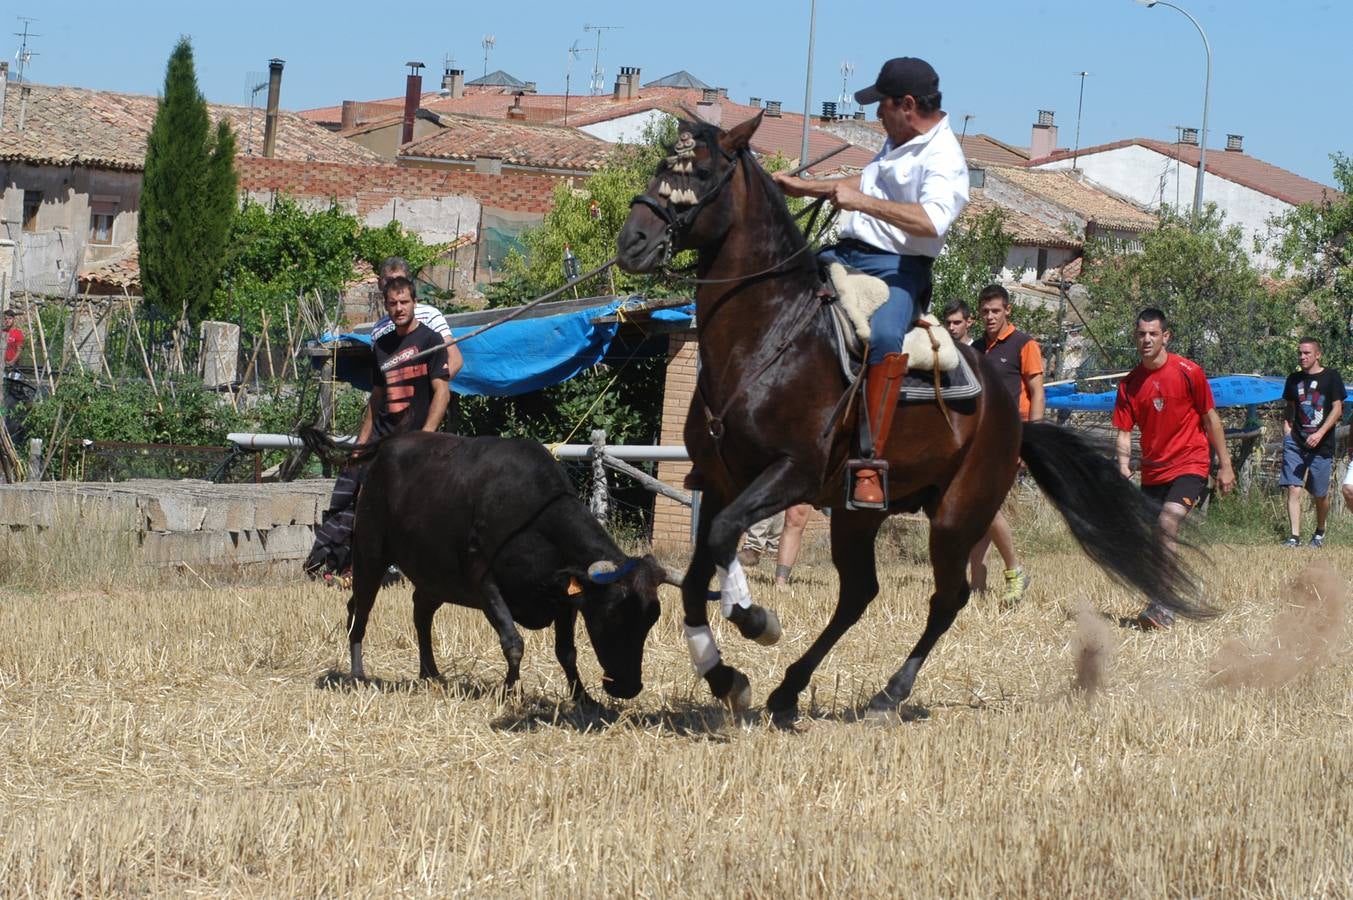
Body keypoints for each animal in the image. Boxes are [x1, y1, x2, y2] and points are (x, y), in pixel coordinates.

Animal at [304, 427, 668, 703]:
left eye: (650, 620)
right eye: (612, 615)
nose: (629, 688)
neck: (532, 518)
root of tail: (392, 443)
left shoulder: (565, 596)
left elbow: (567, 651)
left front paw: (583, 697)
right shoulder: (485, 583)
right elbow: (513, 642)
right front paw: (509, 690)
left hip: (435, 575)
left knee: (421, 612)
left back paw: (430, 672)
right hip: (370, 553)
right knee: (359, 611)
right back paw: (358, 674)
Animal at [619, 115, 1201, 725]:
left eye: (701, 172)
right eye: (663, 165)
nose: (632, 241)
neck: (768, 335)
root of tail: (1012, 415)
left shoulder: (791, 474)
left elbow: (724, 541)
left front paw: (756, 620)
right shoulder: (716, 481)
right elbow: (694, 578)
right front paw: (724, 676)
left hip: (956, 514)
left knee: (946, 598)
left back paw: (887, 693)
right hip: (859, 512)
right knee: (858, 594)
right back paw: (789, 690)